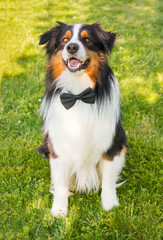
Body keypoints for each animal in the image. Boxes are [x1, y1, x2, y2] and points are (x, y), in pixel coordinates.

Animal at [37, 22, 126, 218]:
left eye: (87, 40)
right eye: (64, 40)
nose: (72, 47)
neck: (78, 94)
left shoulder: (111, 142)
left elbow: (109, 178)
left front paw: (110, 204)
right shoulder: (59, 146)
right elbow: (60, 183)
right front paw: (59, 209)